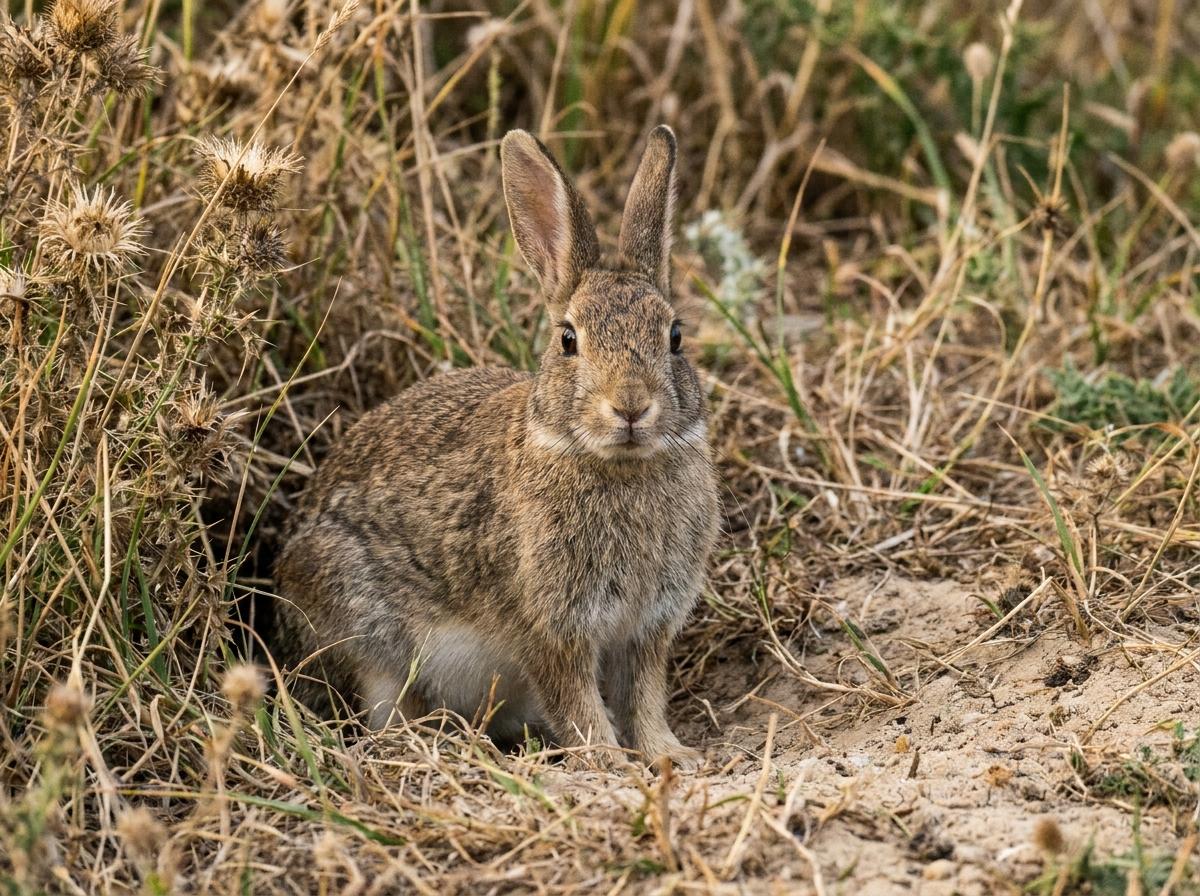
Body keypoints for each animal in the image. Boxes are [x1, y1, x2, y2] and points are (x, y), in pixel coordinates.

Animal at [273, 125, 719, 769]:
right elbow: (577, 702)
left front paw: (670, 755)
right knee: (382, 713)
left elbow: (644, 696)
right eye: (568, 340)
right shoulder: (549, 627)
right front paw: (608, 761)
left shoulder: (647, 627)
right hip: (361, 627)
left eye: (676, 336)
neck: (618, 465)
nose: (631, 407)